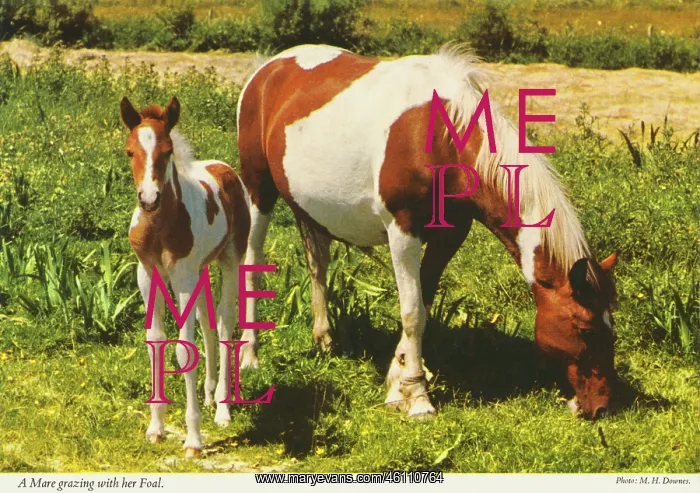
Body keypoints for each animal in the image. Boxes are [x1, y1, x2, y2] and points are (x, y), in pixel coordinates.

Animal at [120, 96, 254, 457]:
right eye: (130, 151)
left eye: (167, 151)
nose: (148, 199)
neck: (161, 224)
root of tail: (225, 168)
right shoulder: (147, 274)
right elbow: (156, 342)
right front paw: (155, 428)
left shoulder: (181, 277)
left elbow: (184, 349)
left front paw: (193, 439)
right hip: (201, 268)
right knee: (207, 323)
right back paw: (208, 396)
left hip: (229, 260)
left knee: (223, 322)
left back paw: (222, 409)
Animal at [236, 44, 619, 421]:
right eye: (586, 328)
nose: (599, 406)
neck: (441, 137)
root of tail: (267, 68)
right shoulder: (403, 230)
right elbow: (412, 312)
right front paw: (418, 397)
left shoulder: (450, 234)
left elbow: (425, 301)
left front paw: (398, 384)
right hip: (259, 192)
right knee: (252, 266)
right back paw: (250, 356)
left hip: (312, 210)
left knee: (317, 266)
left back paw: (325, 341)